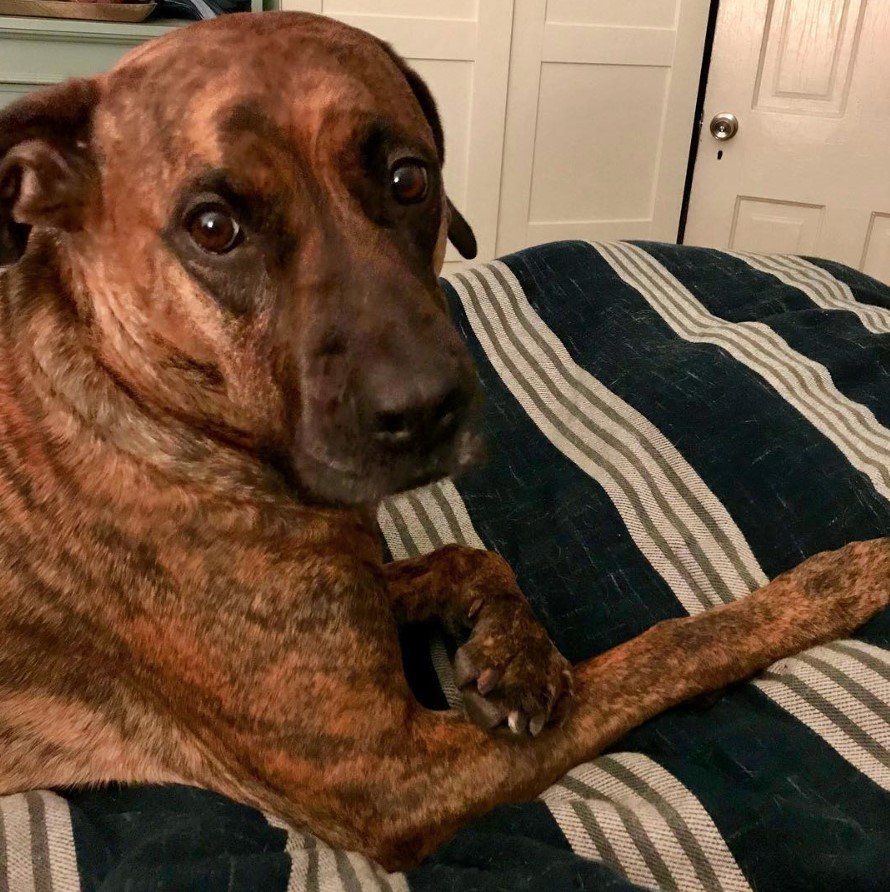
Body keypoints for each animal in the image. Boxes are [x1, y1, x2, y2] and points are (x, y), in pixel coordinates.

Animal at [0, 8, 884, 872]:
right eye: (213, 227)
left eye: (409, 178)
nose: (426, 410)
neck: (152, 407)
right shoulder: (395, 773)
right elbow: (671, 647)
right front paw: (835, 583)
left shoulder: (361, 577)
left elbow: (473, 554)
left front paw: (518, 658)